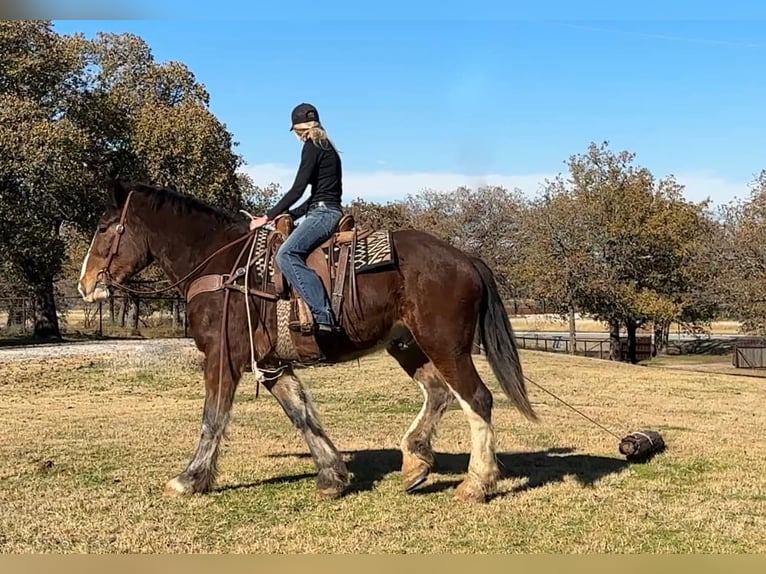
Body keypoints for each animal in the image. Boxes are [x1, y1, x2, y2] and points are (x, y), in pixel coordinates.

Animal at [77, 178, 538, 503]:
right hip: (409, 345)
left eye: (103, 227)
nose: (85, 284)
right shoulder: (271, 364)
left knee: (476, 399)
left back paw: (477, 482)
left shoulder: (223, 358)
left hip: (446, 346)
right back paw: (416, 461)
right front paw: (333, 474)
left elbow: (213, 419)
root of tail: (465, 258)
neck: (221, 265)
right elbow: (301, 414)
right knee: (438, 393)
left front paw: (190, 479)